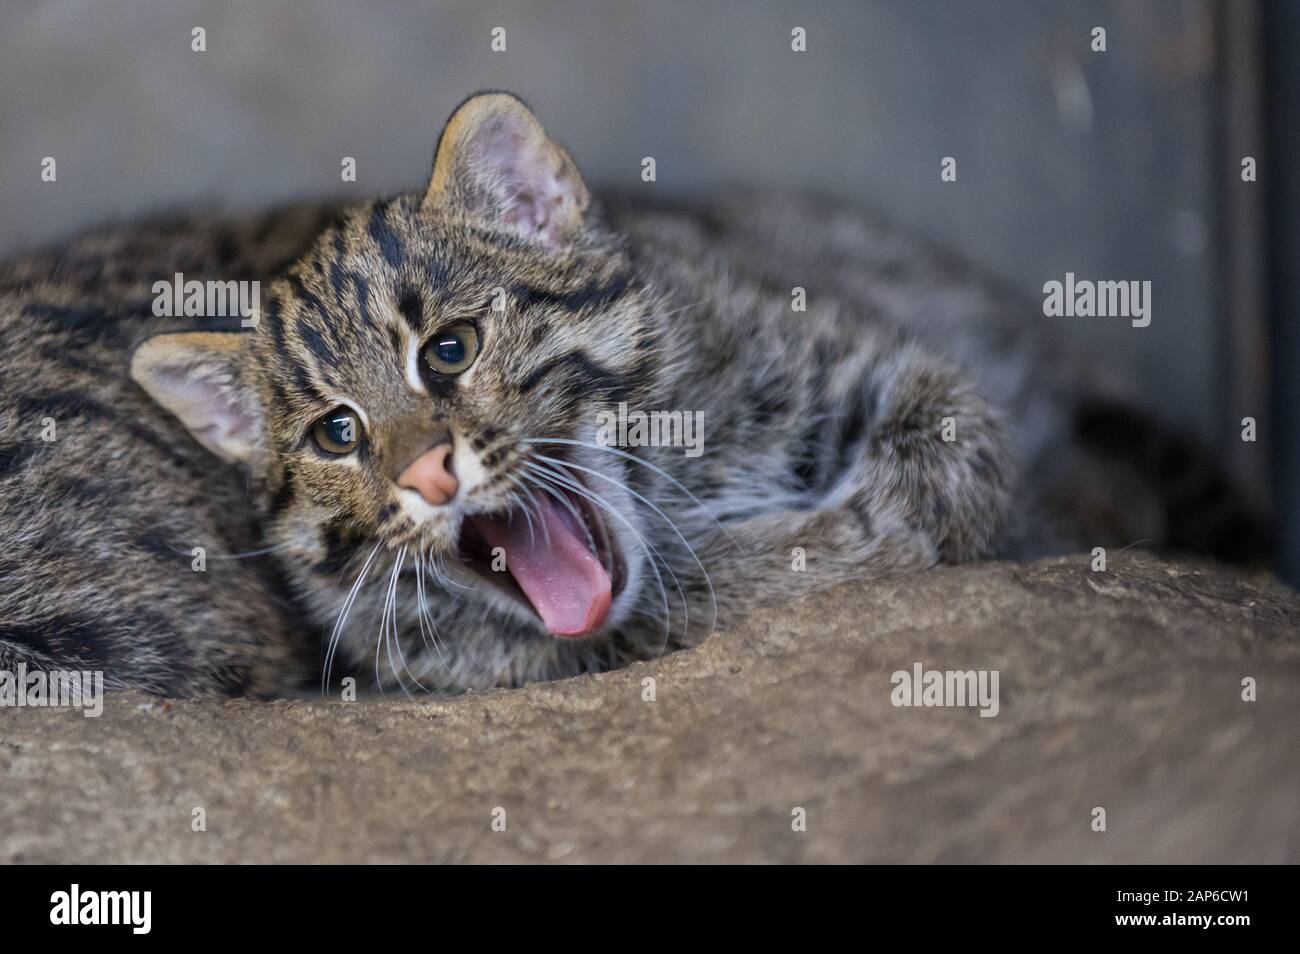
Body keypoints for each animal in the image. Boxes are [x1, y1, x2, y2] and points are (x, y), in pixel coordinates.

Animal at [0, 93, 1258, 696]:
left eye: (449, 351)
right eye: (337, 434)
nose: (426, 475)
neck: (675, 478)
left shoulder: (885, 360)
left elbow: (946, 460)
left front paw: (823, 546)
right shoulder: (421, 648)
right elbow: (613, 626)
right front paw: (746, 570)